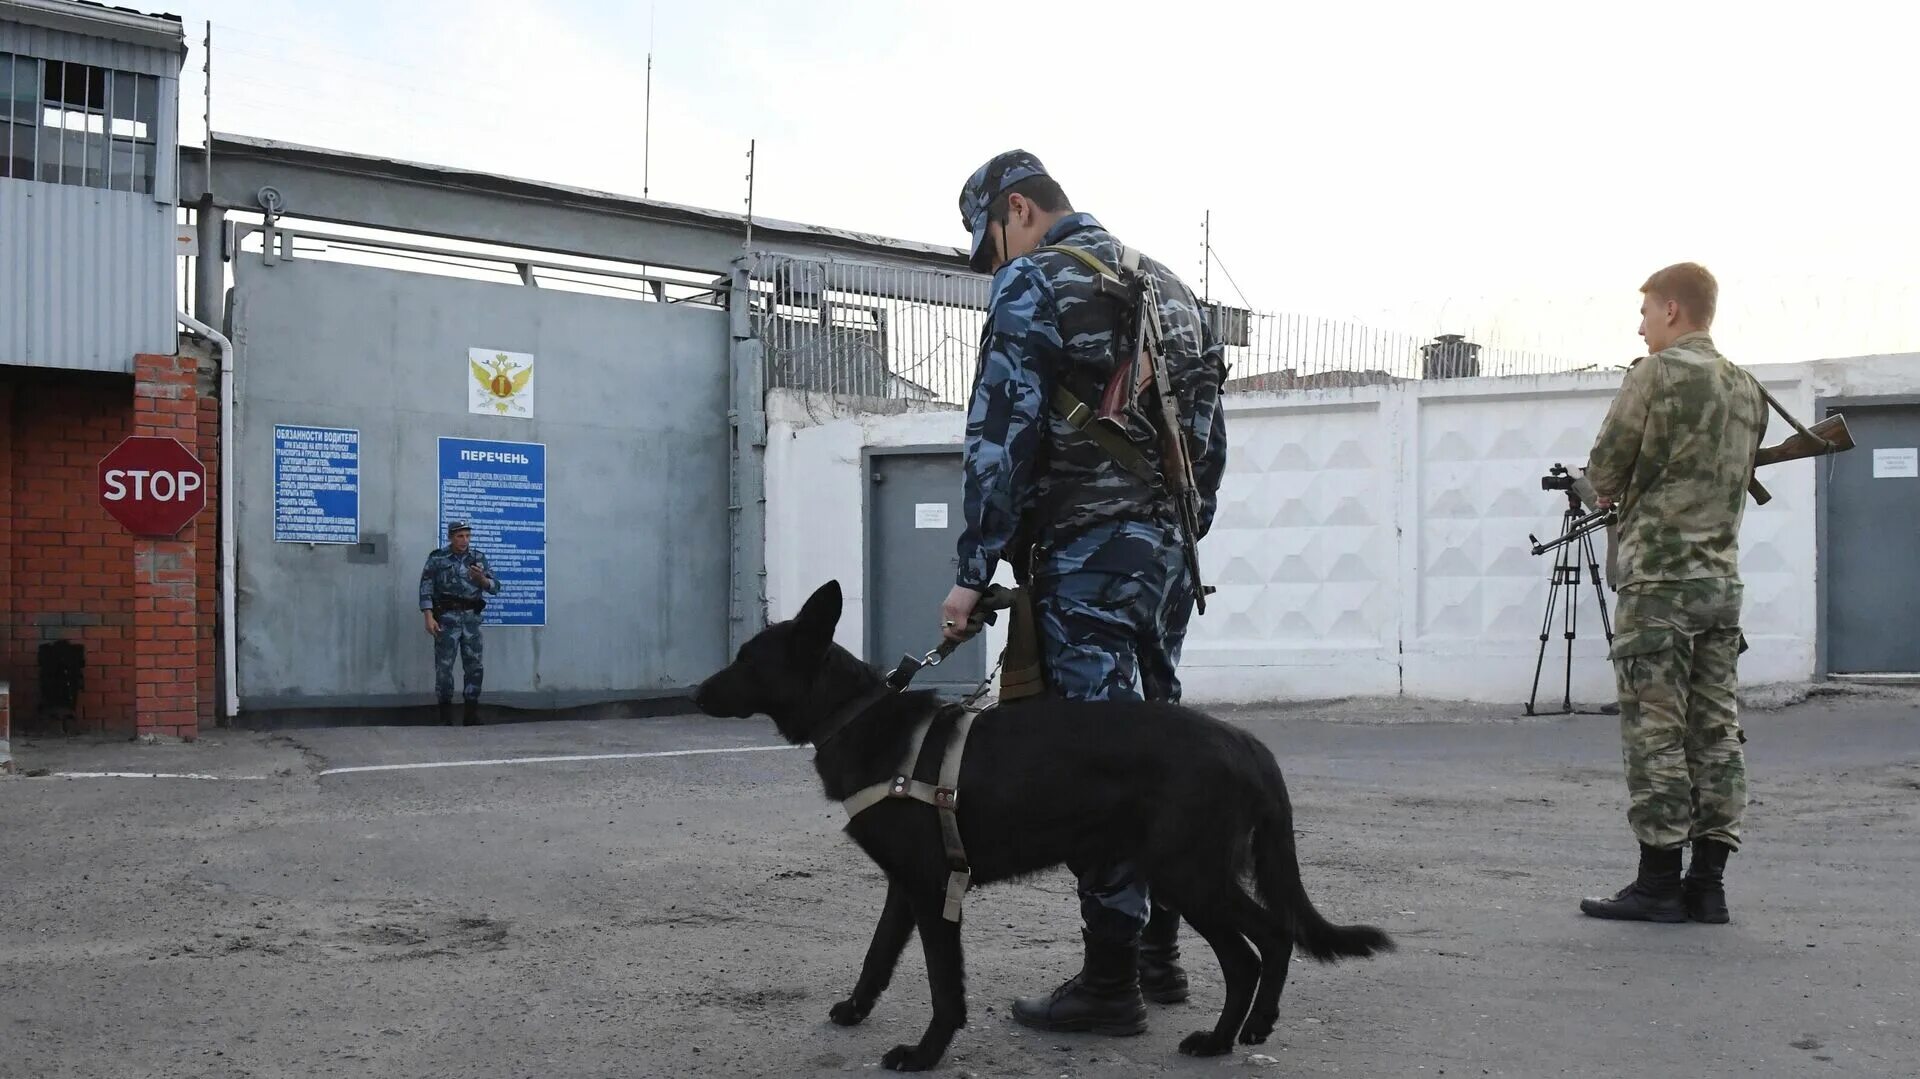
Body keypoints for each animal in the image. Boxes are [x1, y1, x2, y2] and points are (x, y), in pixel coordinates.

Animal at [695, 579, 1397, 1067]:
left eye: (748, 659)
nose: (695, 694)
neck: (859, 717)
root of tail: (1245, 742)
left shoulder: (935, 891)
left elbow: (944, 985)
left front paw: (924, 1055)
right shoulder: (905, 887)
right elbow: (877, 956)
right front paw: (854, 1010)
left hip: (1187, 875)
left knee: (1261, 946)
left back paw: (1231, 1035)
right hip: (1185, 876)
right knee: (1263, 945)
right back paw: (1242, 1032)